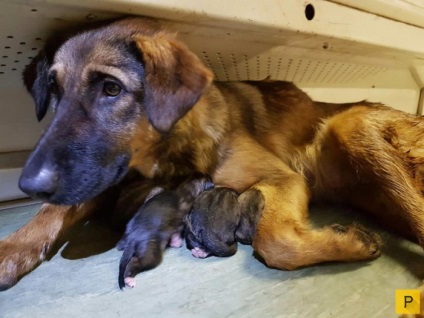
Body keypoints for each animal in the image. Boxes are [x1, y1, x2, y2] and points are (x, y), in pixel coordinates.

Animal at [0, 16, 424, 290]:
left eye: (111, 88)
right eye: (54, 91)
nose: (28, 184)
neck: (168, 151)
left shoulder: (280, 178)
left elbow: (276, 241)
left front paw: (348, 243)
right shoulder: (104, 175)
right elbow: (55, 209)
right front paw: (13, 248)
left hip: (353, 129)